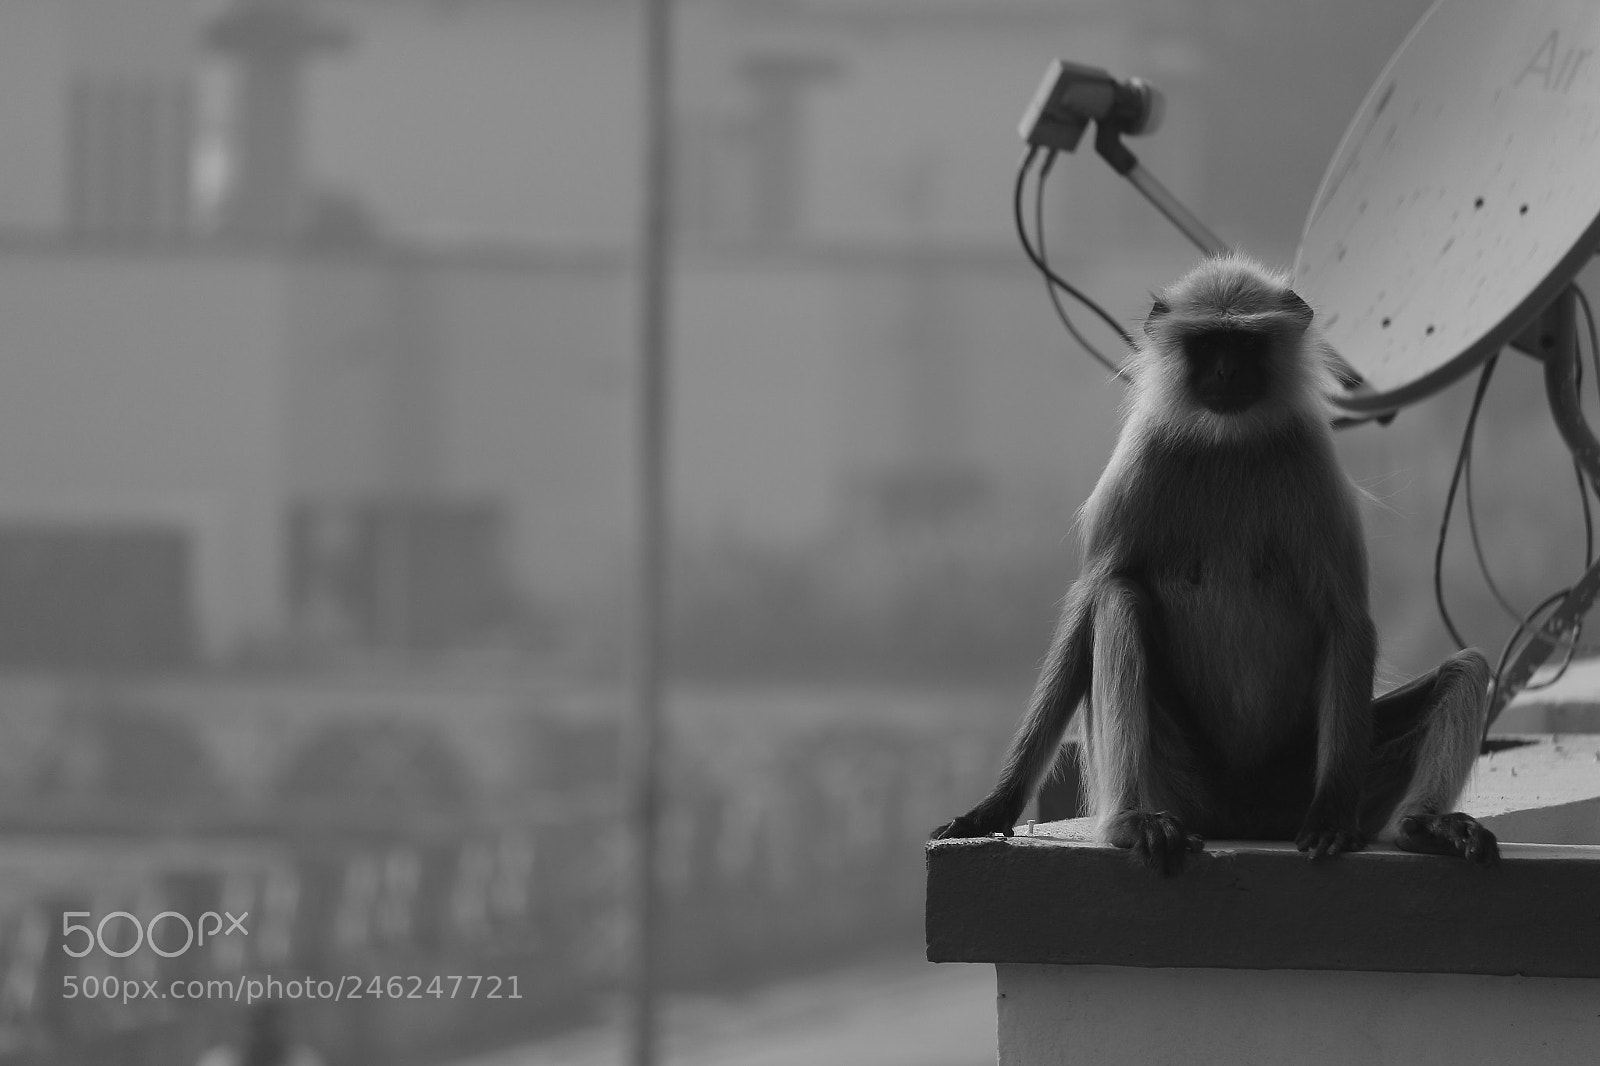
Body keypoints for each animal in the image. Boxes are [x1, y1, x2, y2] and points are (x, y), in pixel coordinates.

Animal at [933, 254, 1498, 874]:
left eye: (1243, 344)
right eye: (1208, 345)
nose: (1226, 372)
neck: (1229, 439)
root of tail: (1244, 818)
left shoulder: (1310, 458)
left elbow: (1347, 617)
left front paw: (1331, 817)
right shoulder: (1142, 459)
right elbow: (1089, 604)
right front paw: (995, 805)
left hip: (1298, 774)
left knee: (1465, 670)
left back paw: (1422, 826)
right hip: (1184, 786)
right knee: (1119, 597)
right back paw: (1131, 822)